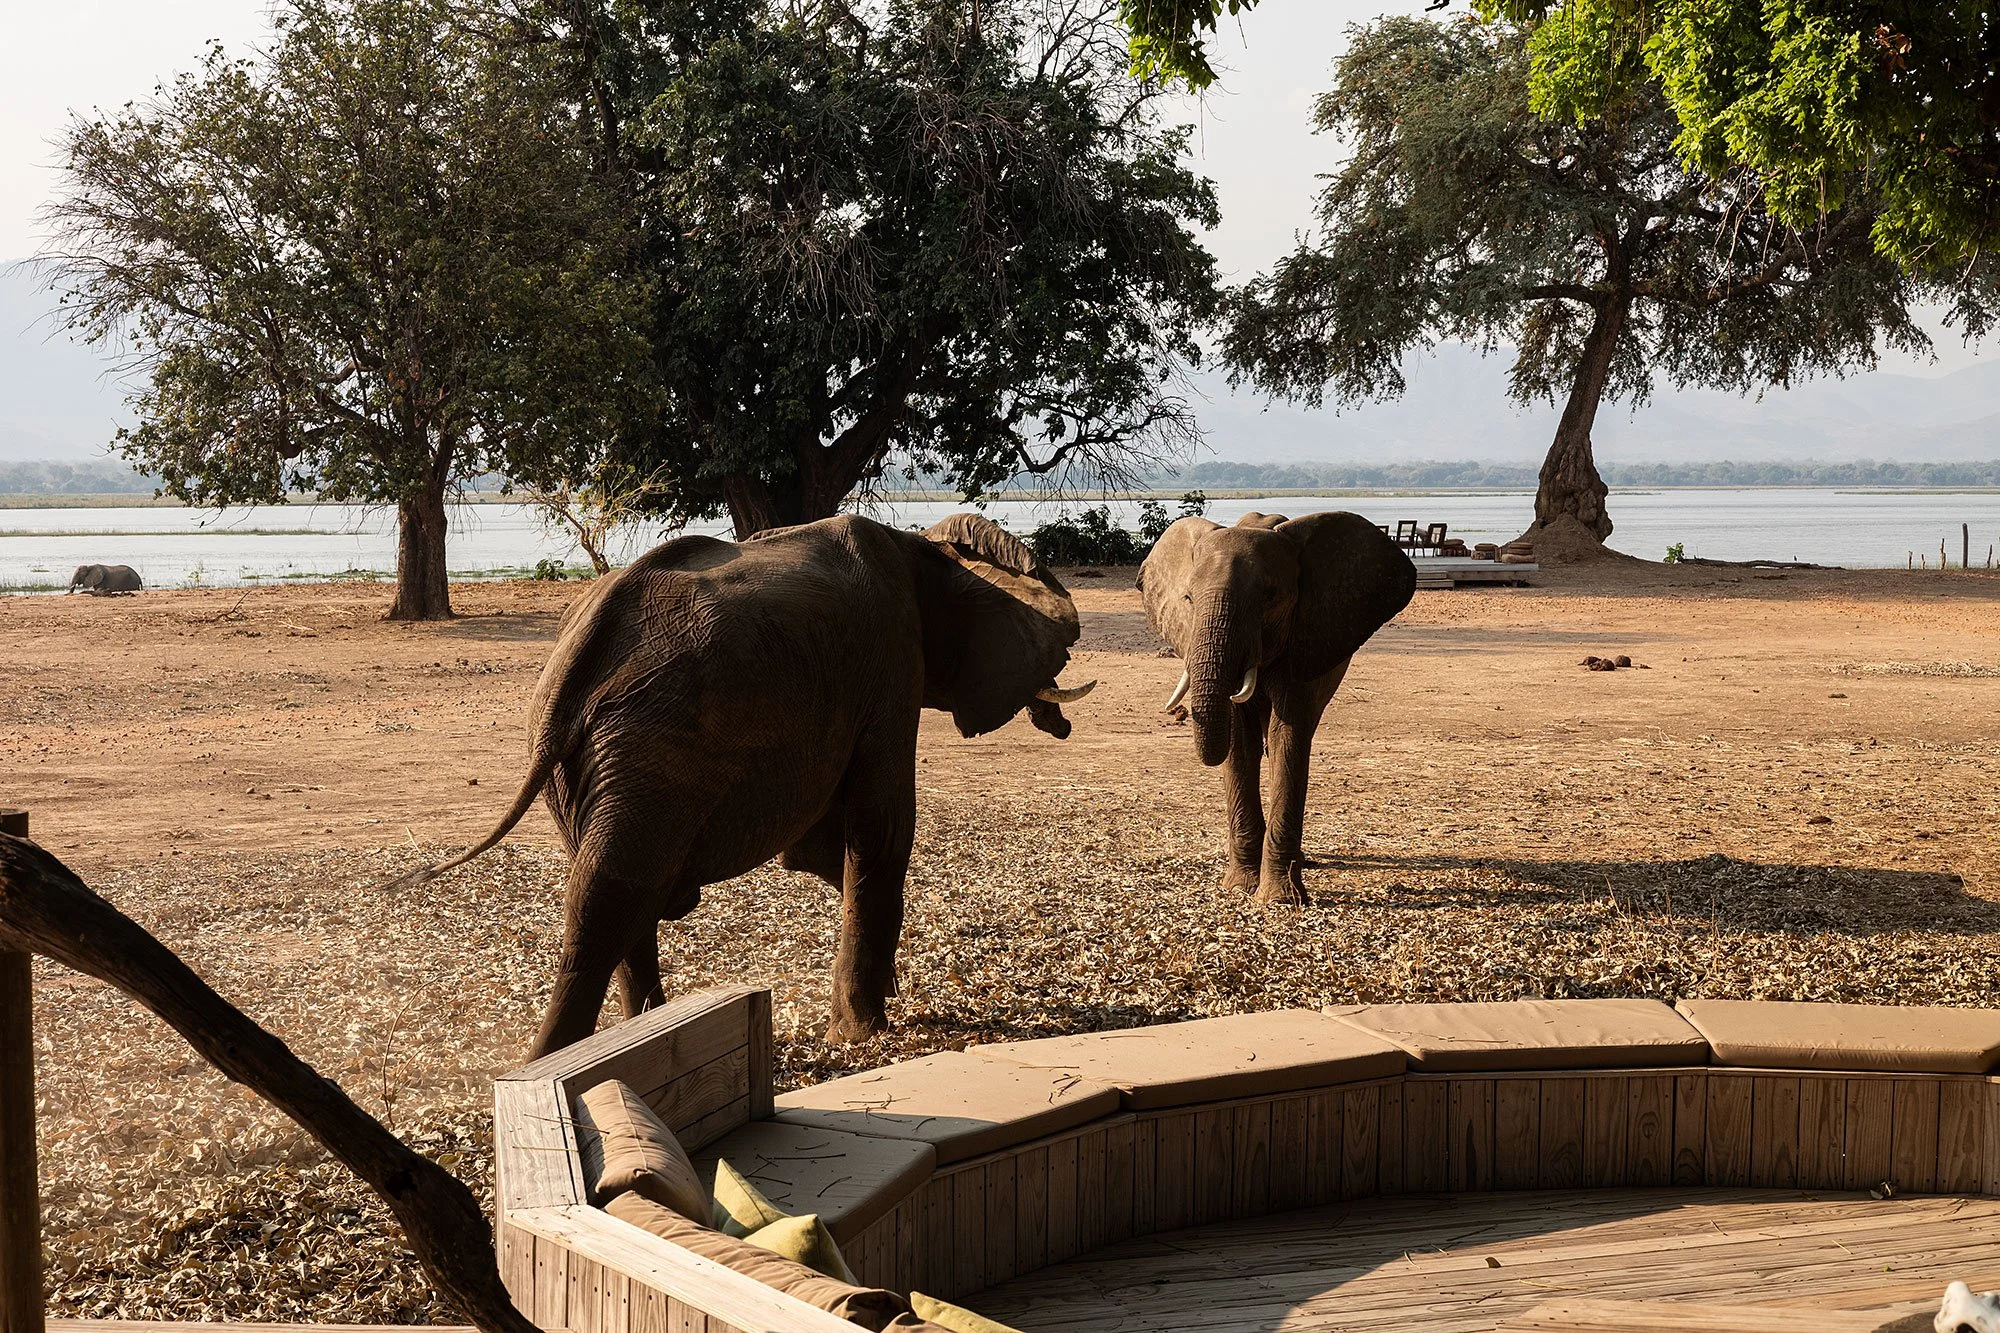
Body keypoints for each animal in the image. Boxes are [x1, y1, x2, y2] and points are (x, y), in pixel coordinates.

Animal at [393, 513, 1095, 1056]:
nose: (1062, 723)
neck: (920, 548)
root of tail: (574, 660)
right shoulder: (892, 667)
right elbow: (882, 830)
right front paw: (862, 1033)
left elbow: (821, 850)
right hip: (652, 751)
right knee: (608, 895)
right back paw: (556, 1061)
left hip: (596, 766)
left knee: (614, 888)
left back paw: (637, 1033)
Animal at [1137, 511, 1415, 906]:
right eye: (1188, 598)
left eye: (1270, 597)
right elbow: (1240, 741)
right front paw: (1240, 887)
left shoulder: (1302, 642)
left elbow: (1288, 736)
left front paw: (1279, 899)